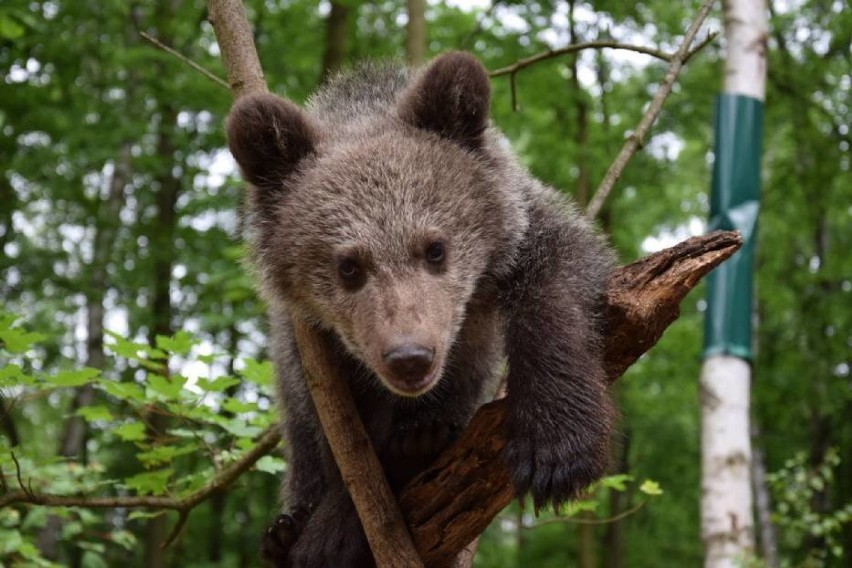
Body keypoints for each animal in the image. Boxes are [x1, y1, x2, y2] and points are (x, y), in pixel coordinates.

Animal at [225, 51, 612, 564]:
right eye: (349, 266)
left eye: (435, 249)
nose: (409, 358)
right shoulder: (308, 340)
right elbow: (337, 430)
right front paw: (331, 526)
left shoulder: (522, 226)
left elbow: (558, 285)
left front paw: (555, 448)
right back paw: (289, 528)